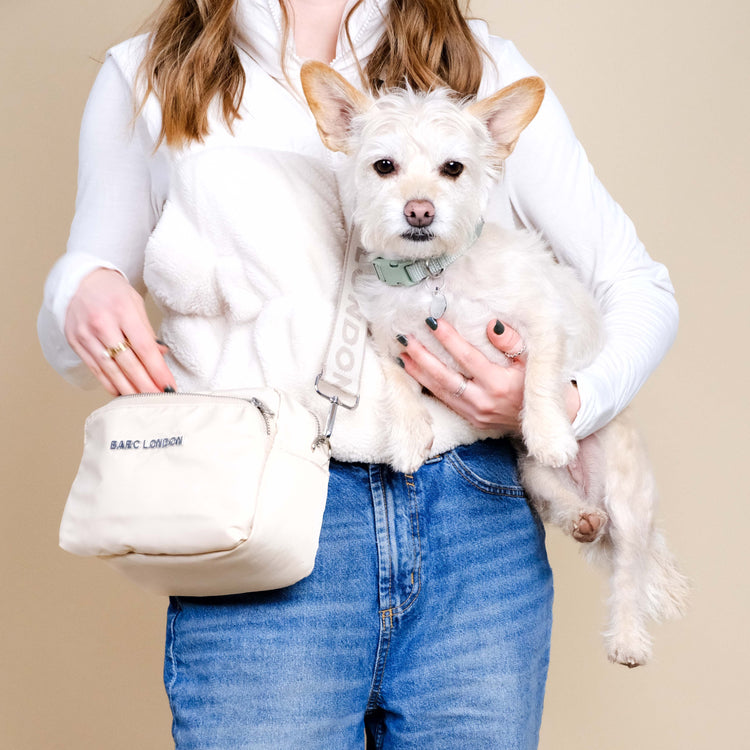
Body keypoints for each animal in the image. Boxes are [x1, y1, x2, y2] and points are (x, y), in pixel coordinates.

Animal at [302, 61, 692, 668]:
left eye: (453, 168)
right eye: (384, 166)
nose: (419, 210)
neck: (432, 277)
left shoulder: (540, 323)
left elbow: (540, 380)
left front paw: (551, 430)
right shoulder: (387, 340)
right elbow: (397, 384)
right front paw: (409, 438)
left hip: (629, 500)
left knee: (627, 572)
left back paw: (627, 637)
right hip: (532, 477)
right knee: (568, 506)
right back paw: (581, 518)